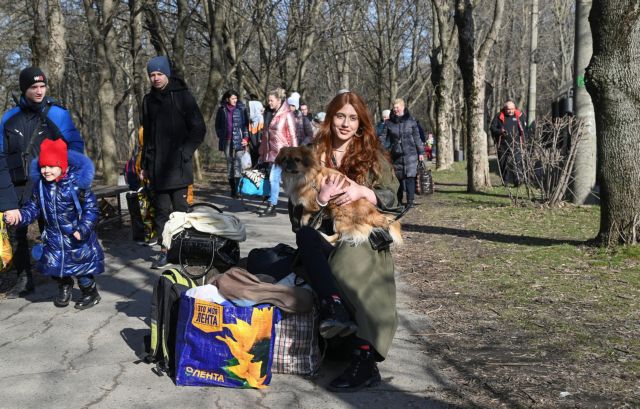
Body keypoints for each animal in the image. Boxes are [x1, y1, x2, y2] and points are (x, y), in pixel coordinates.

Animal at [274, 146, 402, 245]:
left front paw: (305, 223)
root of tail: (373, 213)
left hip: (339, 216)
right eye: (284, 159)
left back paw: (324, 236)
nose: (288, 163)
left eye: (297, 160)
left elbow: (305, 214)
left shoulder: (311, 204)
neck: (302, 177)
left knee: (339, 235)